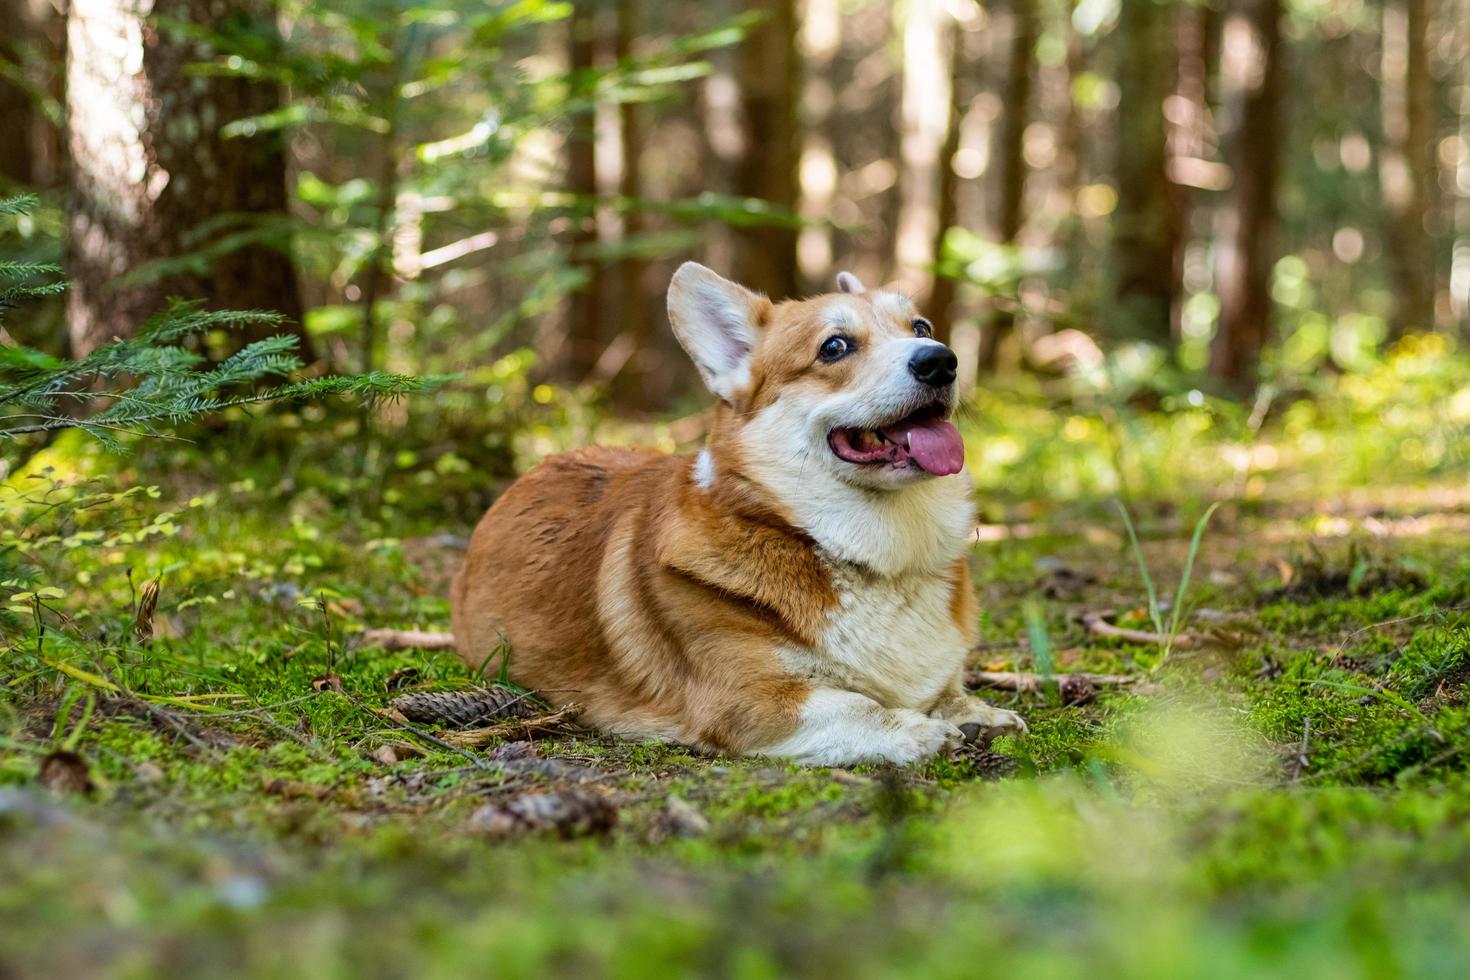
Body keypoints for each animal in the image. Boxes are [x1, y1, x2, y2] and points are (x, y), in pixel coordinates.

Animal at [452, 268, 1029, 764]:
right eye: (834, 346)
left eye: (921, 327)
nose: (941, 360)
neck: (878, 558)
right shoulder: (749, 701)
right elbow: (856, 705)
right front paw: (918, 729)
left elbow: (952, 692)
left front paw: (980, 715)